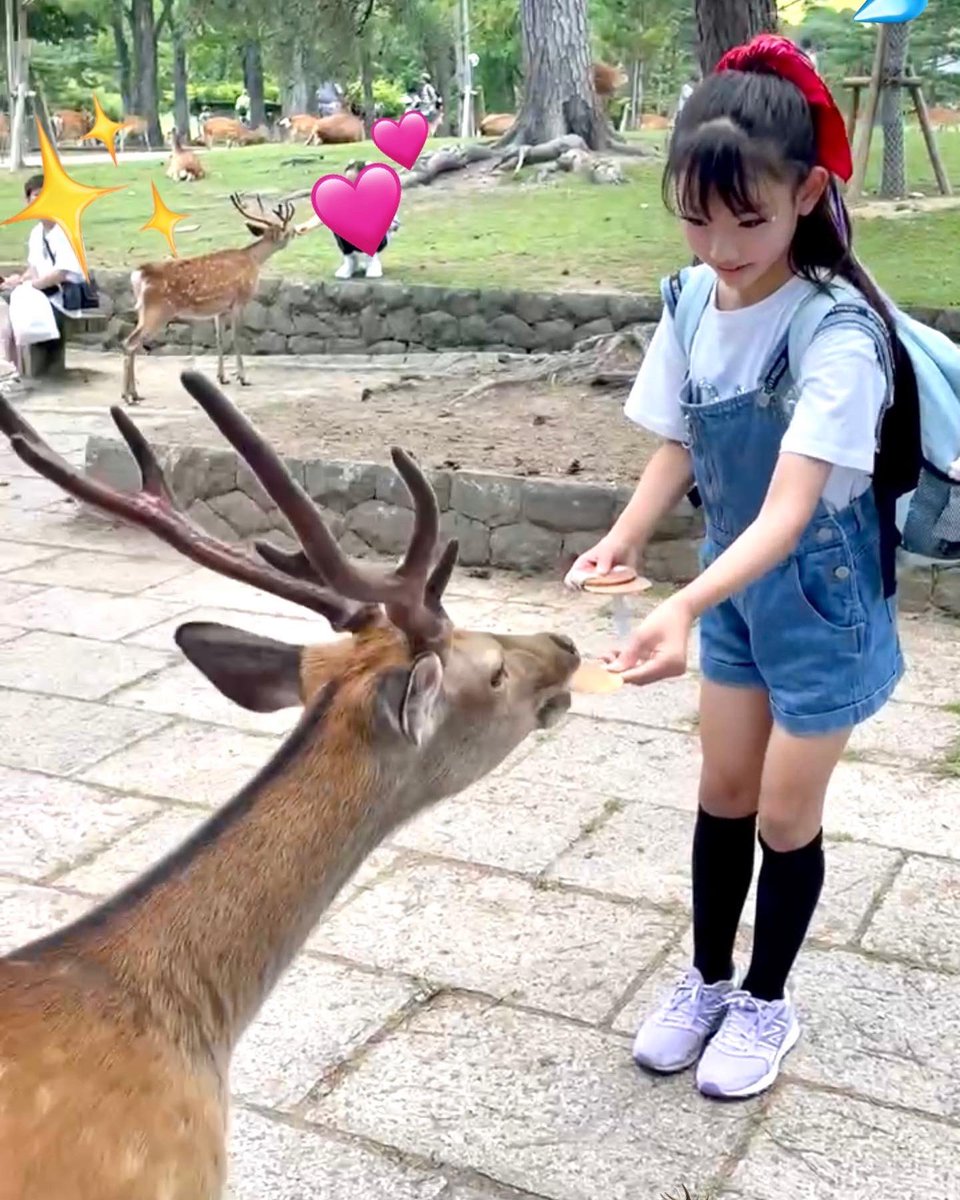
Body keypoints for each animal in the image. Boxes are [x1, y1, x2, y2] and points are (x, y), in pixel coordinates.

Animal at [122, 194, 296, 405]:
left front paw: (222, 378)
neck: (253, 260)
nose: (295, 231)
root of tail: (138, 274)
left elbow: (219, 338)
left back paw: (134, 394)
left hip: (143, 310)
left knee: (133, 343)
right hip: (157, 311)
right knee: (130, 342)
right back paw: (128, 396)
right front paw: (243, 378)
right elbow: (236, 337)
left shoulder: (220, 309)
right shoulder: (239, 301)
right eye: (284, 229)